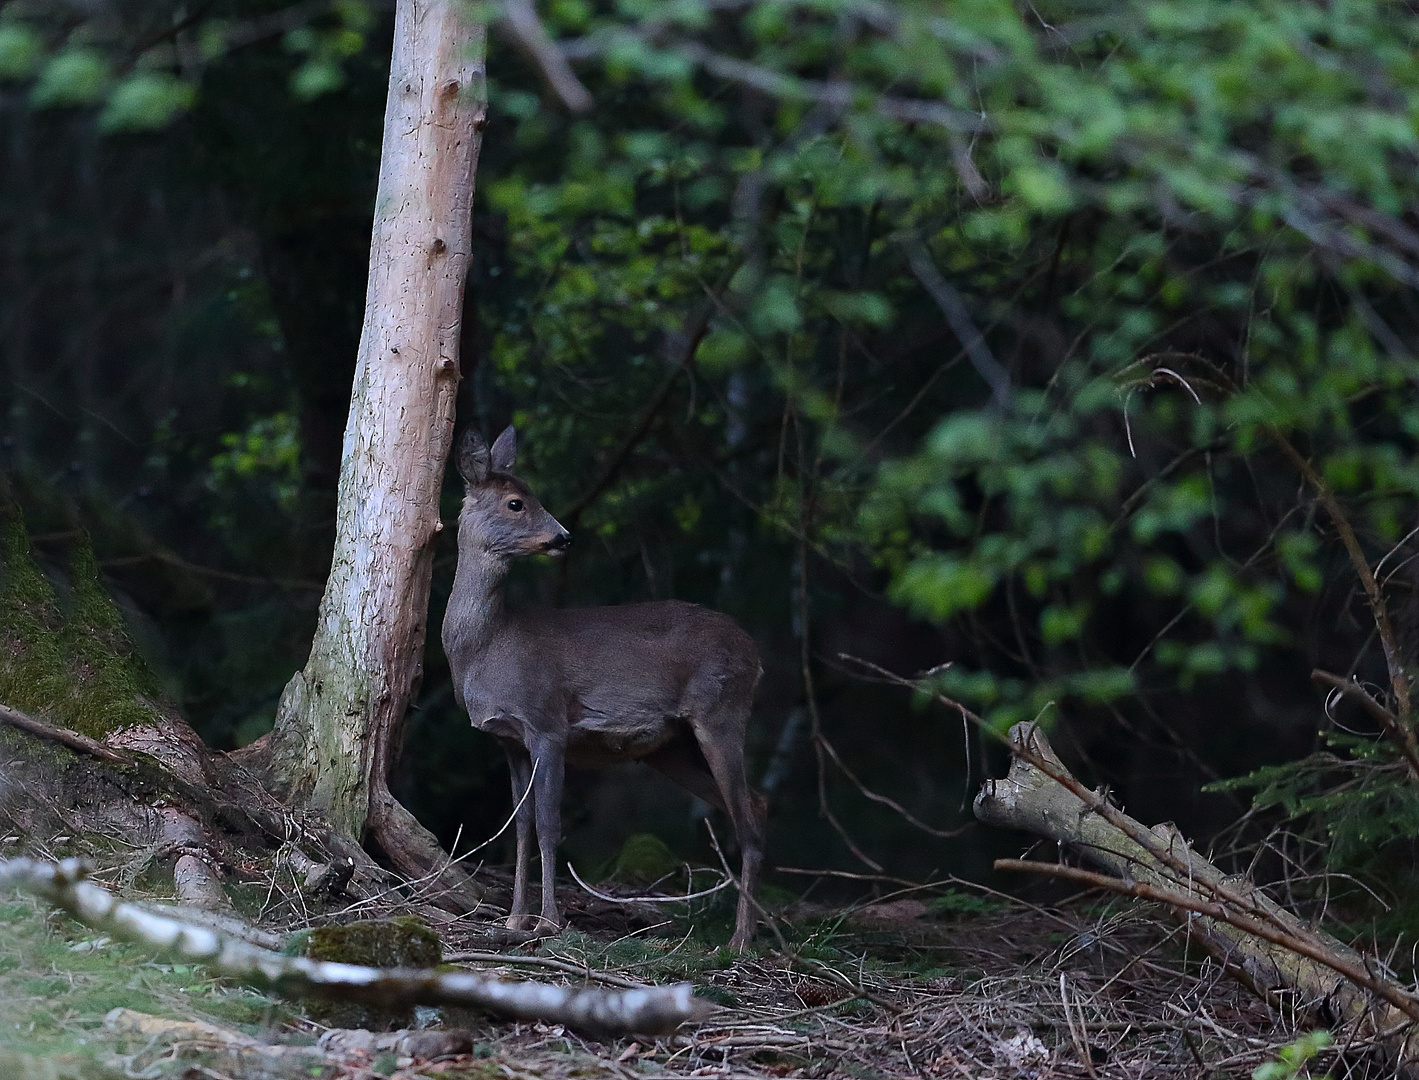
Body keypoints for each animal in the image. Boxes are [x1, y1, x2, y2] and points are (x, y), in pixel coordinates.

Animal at [448, 425, 771, 948]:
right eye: (516, 502)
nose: (564, 536)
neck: (488, 647)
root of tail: (755, 654)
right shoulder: (508, 740)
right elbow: (520, 827)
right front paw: (513, 920)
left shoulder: (548, 722)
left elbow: (549, 825)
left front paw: (549, 922)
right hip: (671, 745)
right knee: (755, 803)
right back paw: (751, 930)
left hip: (722, 709)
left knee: (747, 817)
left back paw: (740, 939)